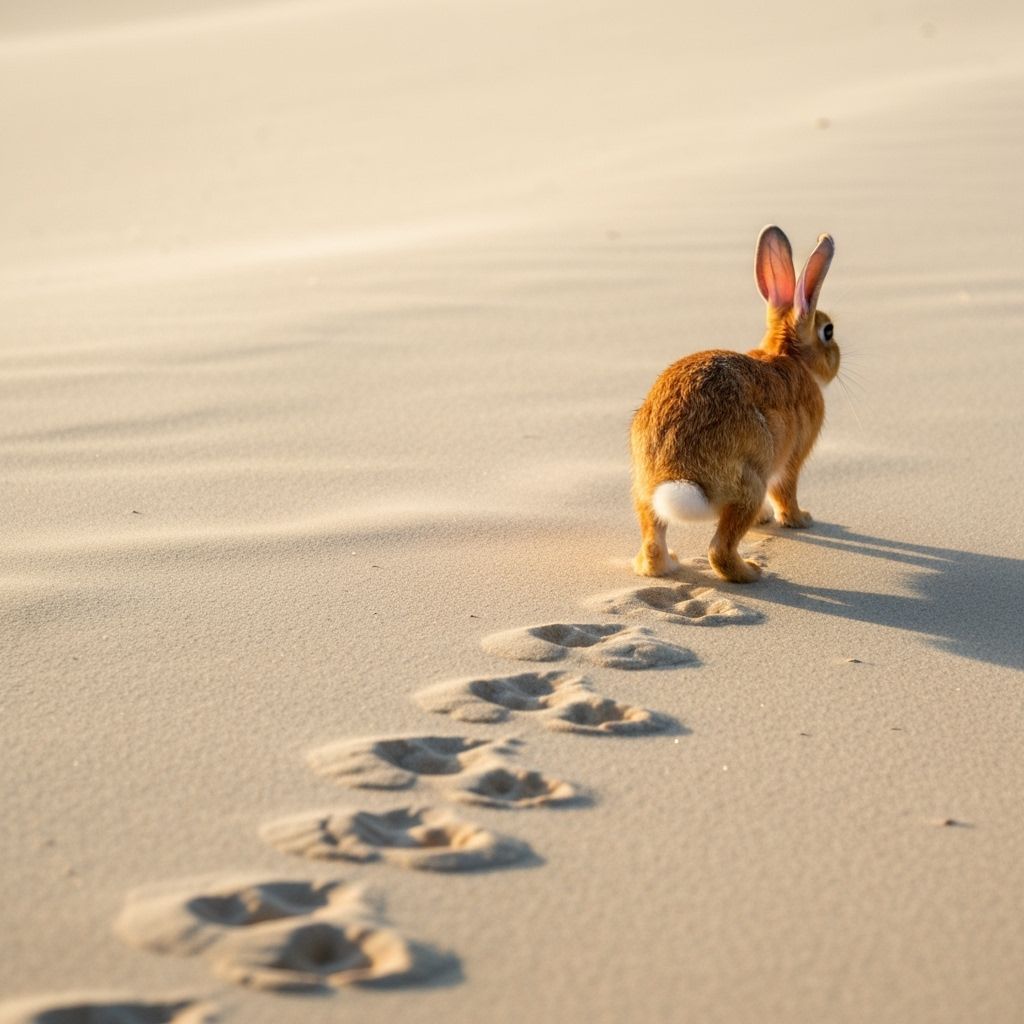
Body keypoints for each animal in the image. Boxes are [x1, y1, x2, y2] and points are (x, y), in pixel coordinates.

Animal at [630, 225, 838, 583]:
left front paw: (768, 519)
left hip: (643, 491)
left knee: (653, 542)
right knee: (720, 551)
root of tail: (677, 473)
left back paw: (669, 562)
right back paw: (752, 571)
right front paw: (801, 519)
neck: (788, 357)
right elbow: (786, 492)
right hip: (750, 484)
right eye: (828, 331)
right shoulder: (792, 459)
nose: (837, 361)